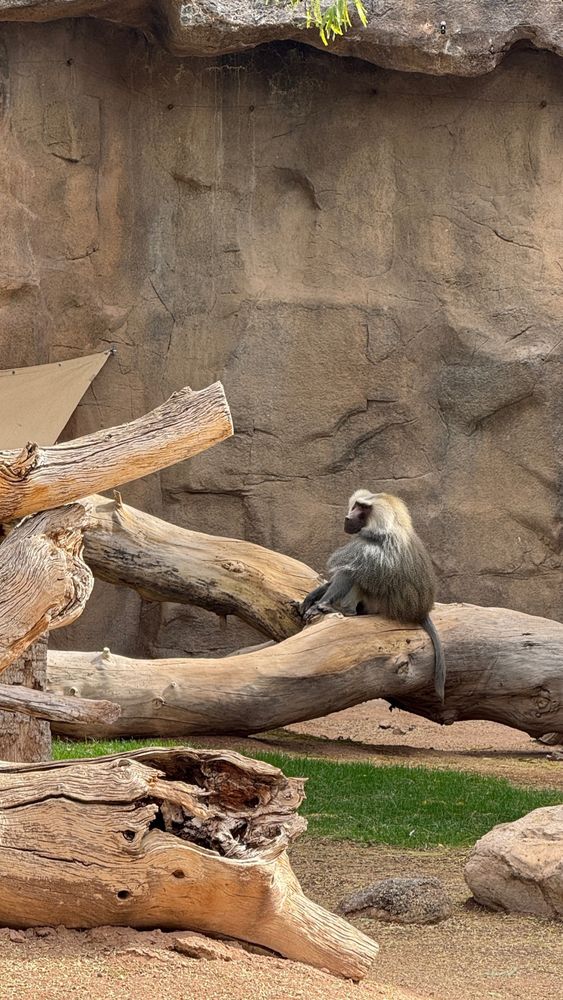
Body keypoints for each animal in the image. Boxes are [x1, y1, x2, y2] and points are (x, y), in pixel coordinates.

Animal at [299, 489, 446, 702]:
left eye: (364, 509)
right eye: (356, 505)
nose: (348, 518)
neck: (387, 527)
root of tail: (419, 611)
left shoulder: (370, 549)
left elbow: (348, 571)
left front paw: (322, 604)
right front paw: (312, 597)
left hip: (385, 605)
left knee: (355, 576)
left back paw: (343, 610)